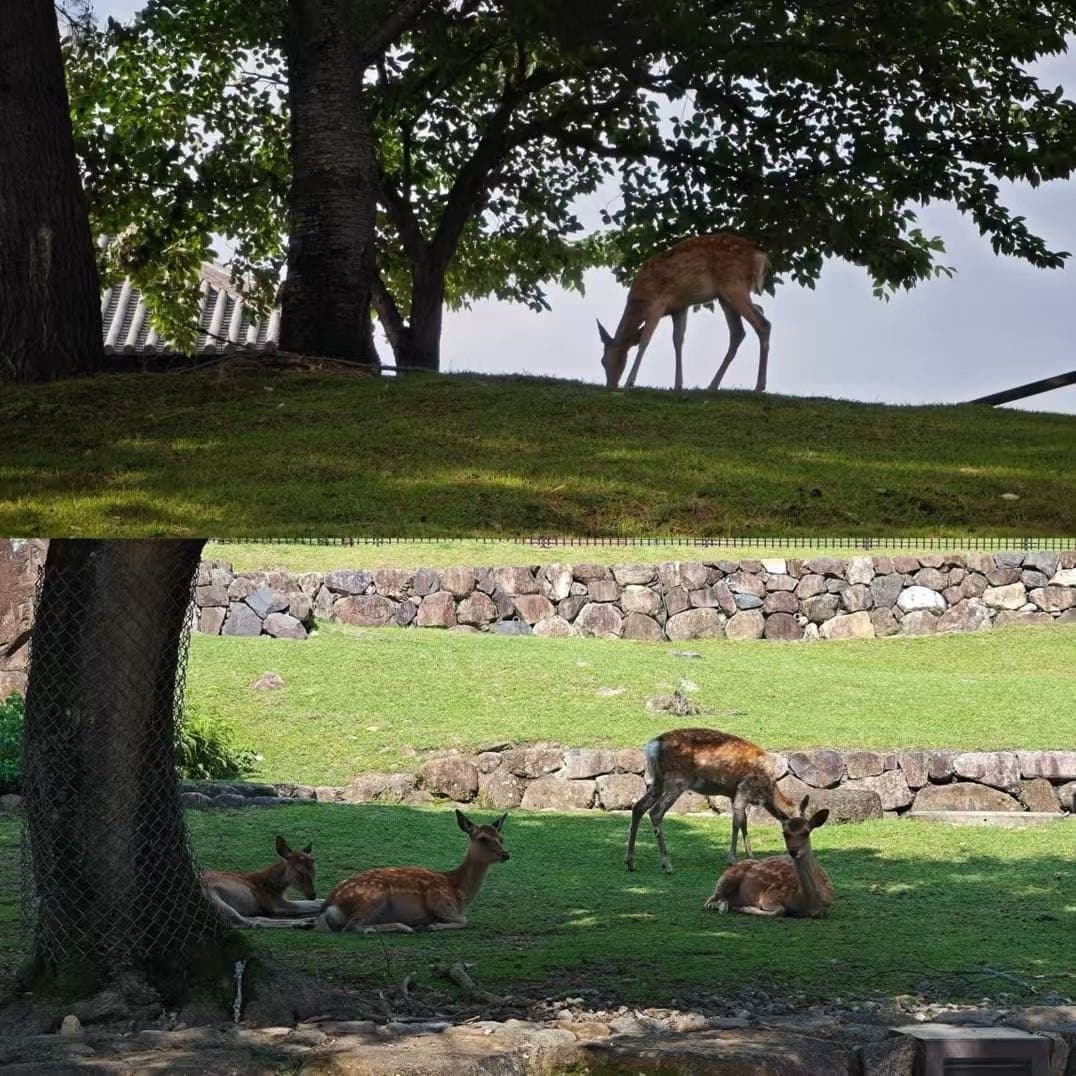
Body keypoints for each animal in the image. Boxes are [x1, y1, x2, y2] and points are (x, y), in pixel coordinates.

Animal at [316, 810, 509, 934]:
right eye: (483, 839)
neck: (459, 893)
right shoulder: (441, 904)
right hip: (372, 897)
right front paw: (433, 925)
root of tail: (330, 905)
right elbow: (464, 920)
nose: (506, 854)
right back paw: (405, 927)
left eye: (501, 838)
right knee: (352, 926)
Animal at [597, 233, 771, 392]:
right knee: (740, 330)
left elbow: (645, 340)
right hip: (726, 296)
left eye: (604, 360)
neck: (640, 301)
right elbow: (678, 341)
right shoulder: (679, 307)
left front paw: (629, 382)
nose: (610, 386)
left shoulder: (658, 303)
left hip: (734, 286)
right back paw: (712, 385)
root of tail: (760, 255)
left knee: (763, 324)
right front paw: (677, 385)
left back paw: (759, 386)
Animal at [625, 728, 800, 874]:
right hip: (676, 781)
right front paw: (732, 859)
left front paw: (751, 857)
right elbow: (737, 823)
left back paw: (630, 862)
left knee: (638, 807)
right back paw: (667, 865)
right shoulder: (744, 789)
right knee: (655, 812)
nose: (795, 852)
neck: (768, 790)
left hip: (658, 782)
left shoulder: (733, 794)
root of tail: (652, 747)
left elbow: (743, 822)